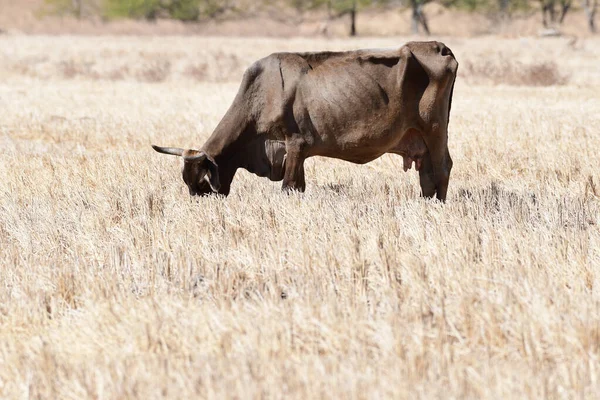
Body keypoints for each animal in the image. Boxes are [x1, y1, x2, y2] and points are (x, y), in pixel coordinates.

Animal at [152, 40, 458, 200]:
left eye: (201, 182)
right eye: (187, 183)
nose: (199, 204)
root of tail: (438, 47)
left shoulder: (296, 143)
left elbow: (289, 187)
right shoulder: (294, 153)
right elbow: (299, 186)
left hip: (434, 130)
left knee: (442, 168)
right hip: (422, 139)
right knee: (427, 175)